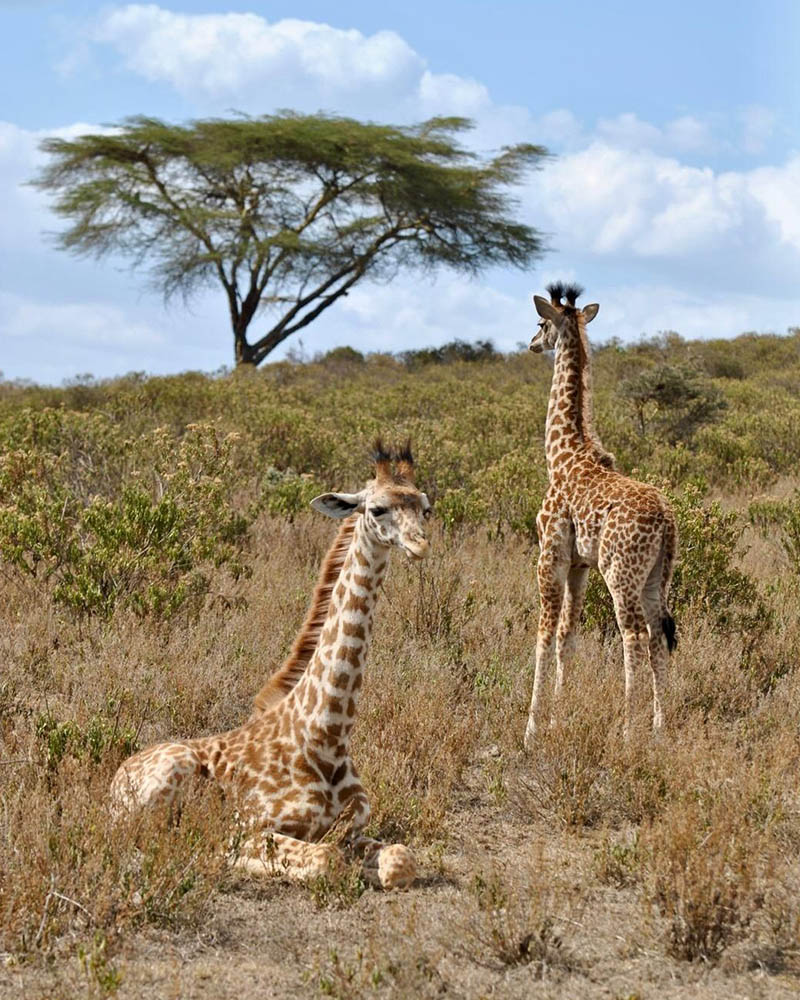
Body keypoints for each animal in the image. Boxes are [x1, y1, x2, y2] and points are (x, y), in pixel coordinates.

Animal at [111, 441, 431, 890]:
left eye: (425, 508)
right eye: (377, 509)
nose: (420, 545)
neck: (326, 736)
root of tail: (116, 776)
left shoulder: (353, 829)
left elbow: (401, 859)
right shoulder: (249, 825)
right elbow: (325, 859)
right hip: (164, 782)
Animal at [524, 282, 677, 750]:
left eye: (540, 322)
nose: (531, 343)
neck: (561, 455)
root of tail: (667, 520)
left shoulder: (550, 555)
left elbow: (542, 635)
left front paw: (531, 729)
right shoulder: (579, 565)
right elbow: (566, 637)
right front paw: (558, 718)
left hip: (621, 573)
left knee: (635, 635)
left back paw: (629, 729)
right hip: (654, 577)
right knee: (658, 636)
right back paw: (659, 728)